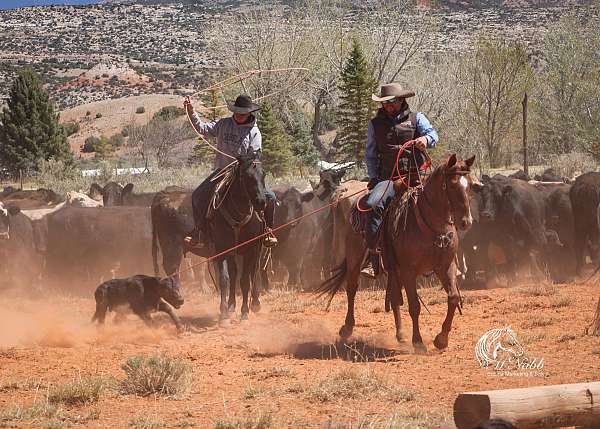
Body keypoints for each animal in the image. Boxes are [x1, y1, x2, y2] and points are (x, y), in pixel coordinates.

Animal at [318, 154, 474, 352]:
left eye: (470, 185)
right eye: (452, 185)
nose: (466, 222)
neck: (431, 227)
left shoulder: (446, 266)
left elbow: (453, 298)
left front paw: (441, 339)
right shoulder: (409, 271)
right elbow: (414, 306)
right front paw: (418, 342)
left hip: (393, 267)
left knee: (393, 297)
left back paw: (400, 334)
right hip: (355, 256)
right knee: (352, 288)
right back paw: (347, 328)